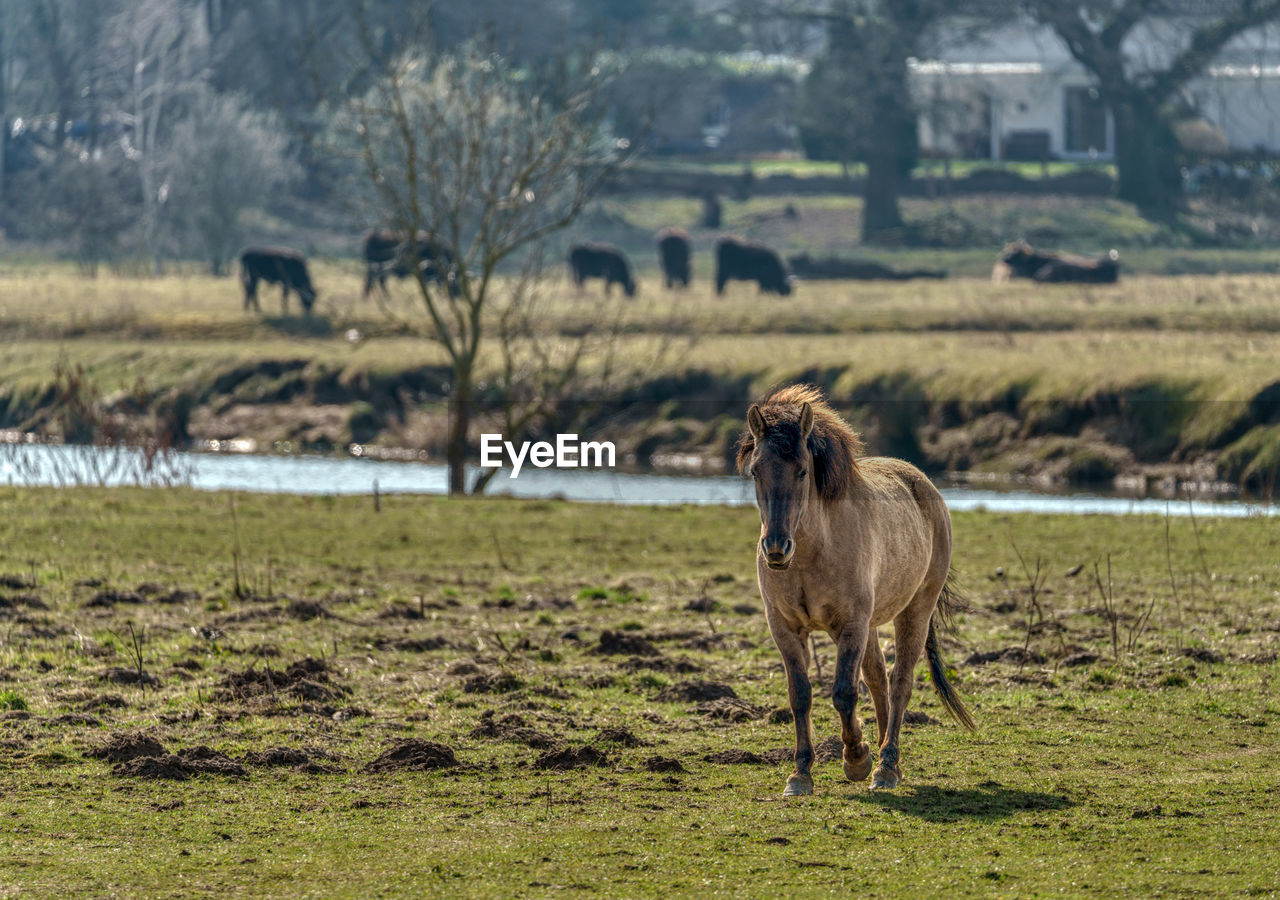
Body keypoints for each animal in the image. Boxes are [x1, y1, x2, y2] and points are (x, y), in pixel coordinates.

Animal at [737, 384, 972, 798]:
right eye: (755, 471)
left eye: (802, 471)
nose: (776, 549)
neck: (812, 552)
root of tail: (923, 483)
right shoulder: (784, 628)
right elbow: (800, 694)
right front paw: (800, 774)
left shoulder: (851, 625)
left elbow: (844, 691)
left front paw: (856, 759)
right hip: (872, 625)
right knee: (878, 679)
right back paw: (886, 757)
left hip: (914, 612)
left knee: (899, 682)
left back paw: (886, 766)